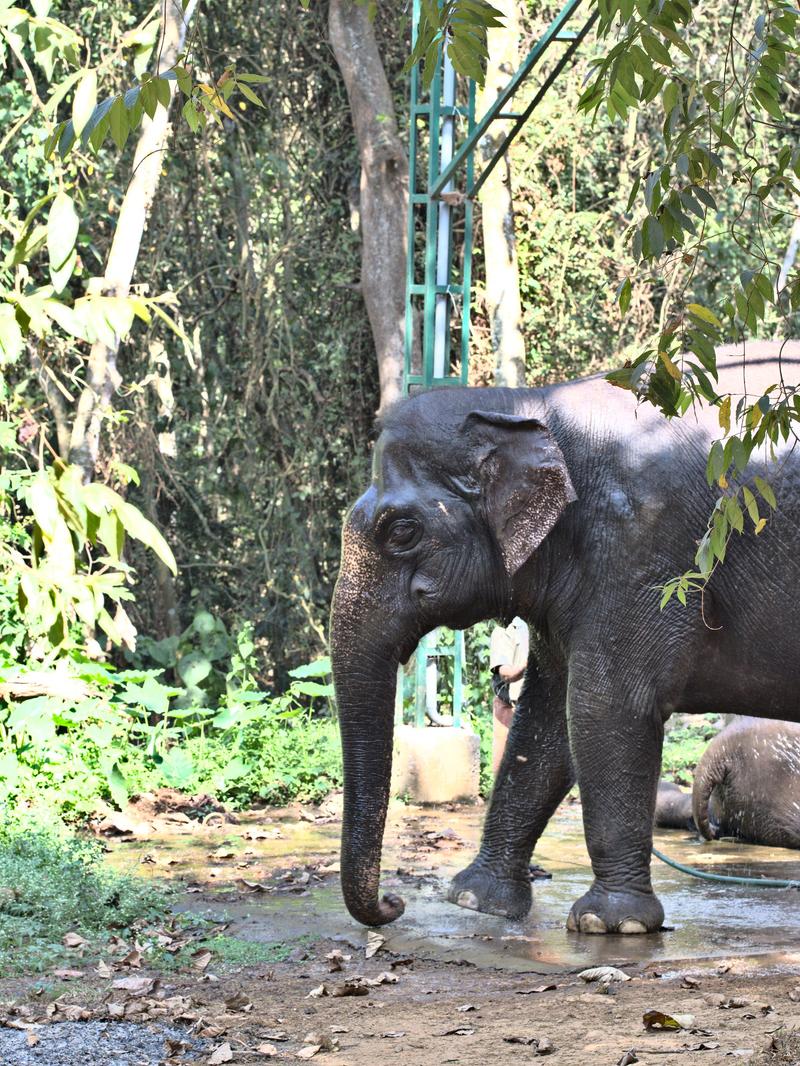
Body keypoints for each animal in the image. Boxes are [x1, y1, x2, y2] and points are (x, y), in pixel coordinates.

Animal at [330, 341, 800, 933]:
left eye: (401, 532)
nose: (394, 903)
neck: (528, 405)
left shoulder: (646, 549)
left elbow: (603, 704)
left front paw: (611, 924)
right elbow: (547, 714)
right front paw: (476, 900)